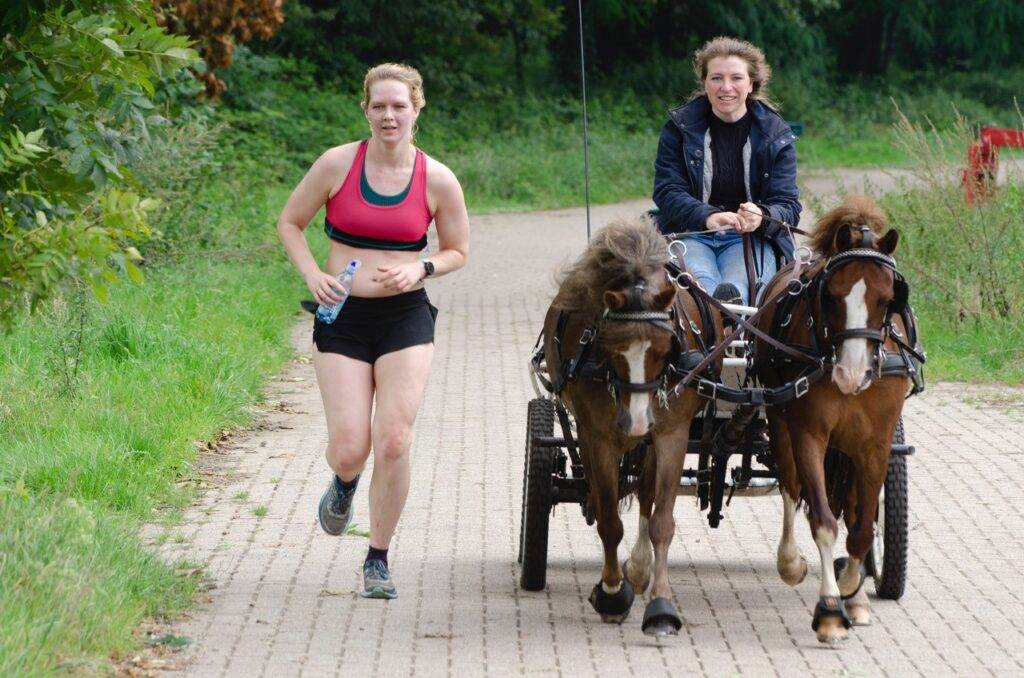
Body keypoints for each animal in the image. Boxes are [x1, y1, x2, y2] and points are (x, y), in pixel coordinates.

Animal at [544, 219, 720, 639]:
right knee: (598, 491)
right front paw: (611, 594)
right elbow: (609, 521)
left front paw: (661, 604)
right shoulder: (598, 436)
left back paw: (639, 569)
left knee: (644, 491)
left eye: (665, 349)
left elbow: (662, 521)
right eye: (611, 350)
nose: (637, 422)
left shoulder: (671, 434)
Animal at [749, 197, 917, 647]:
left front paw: (852, 596)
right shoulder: (810, 434)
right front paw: (828, 611)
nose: (850, 375)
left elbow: (861, 526)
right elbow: (823, 521)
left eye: (888, 298)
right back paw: (790, 562)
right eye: (832, 295)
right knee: (791, 487)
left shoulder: (876, 443)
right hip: (780, 420)